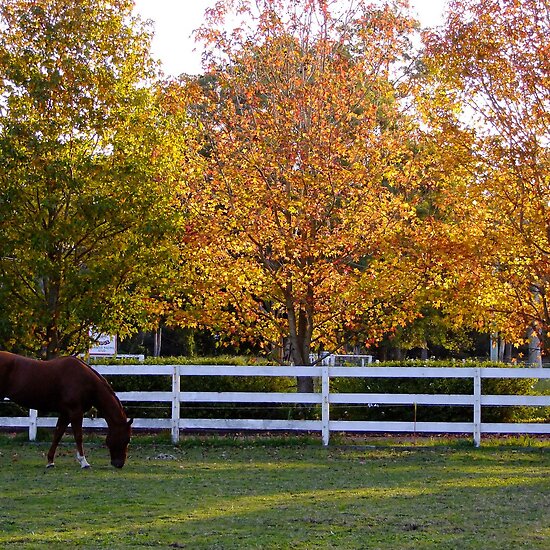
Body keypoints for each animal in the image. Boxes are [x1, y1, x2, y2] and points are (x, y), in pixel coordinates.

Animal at [0, 354, 133, 470]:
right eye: (126, 439)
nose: (119, 464)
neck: (85, 381)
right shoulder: (75, 412)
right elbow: (78, 436)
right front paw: (84, 462)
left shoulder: (65, 413)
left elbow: (58, 435)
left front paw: (50, 462)